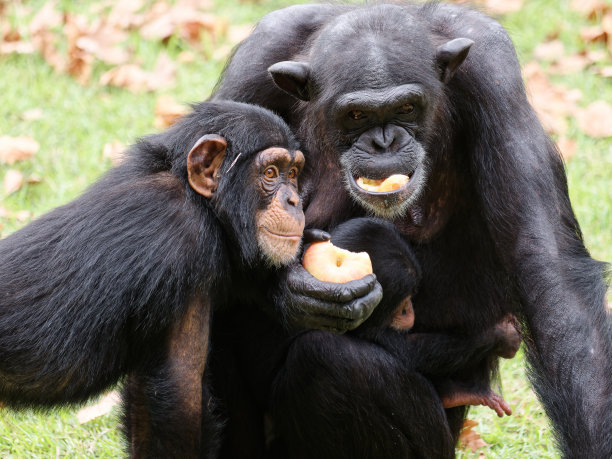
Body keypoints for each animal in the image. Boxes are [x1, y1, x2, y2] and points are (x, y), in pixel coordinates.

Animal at [0, 99, 306, 456]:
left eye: (293, 173)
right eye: (271, 173)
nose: (294, 200)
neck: (196, 199)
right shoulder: (182, 238)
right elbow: (179, 387)